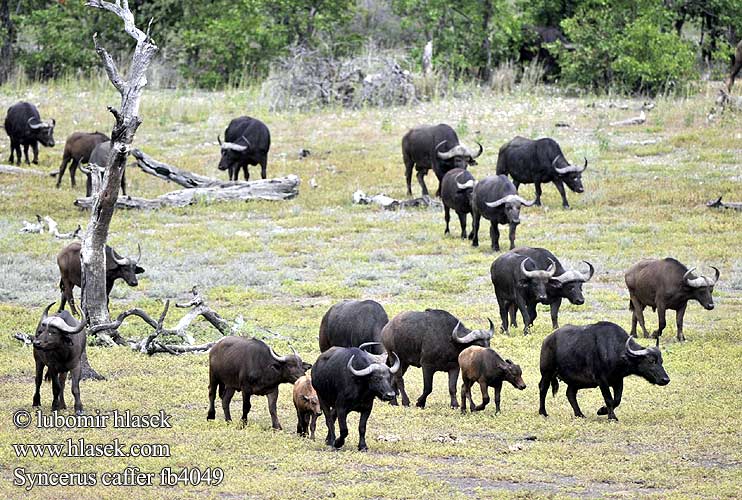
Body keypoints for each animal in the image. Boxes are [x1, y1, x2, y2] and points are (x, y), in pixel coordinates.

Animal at [536, 322, 672, 420]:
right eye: (651, 361)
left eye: (661, 361)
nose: (665, 379)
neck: (615, 351)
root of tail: (547, 339)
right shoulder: (602, 380)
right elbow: (609, 399)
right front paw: (611, 417)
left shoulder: (618, 380)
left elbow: (617, 400)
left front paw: (602, 410)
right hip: (547, 372)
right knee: (543, 388)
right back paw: (543, 412)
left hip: (575, 381)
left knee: (570, 393)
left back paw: (580, 414)